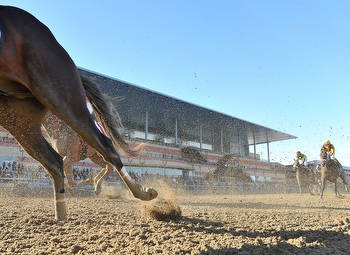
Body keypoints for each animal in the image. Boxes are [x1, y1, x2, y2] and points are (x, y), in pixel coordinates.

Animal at [0, 6, 157, 221]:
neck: (59, 131)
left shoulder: (71, 156)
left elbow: (69, 172)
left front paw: (81, 185)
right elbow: (68, 174)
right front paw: (79, 186)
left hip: (65, 107)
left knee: (108, 157)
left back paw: (128, 190)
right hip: (24, 121)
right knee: (103, 165)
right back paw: (88, 191)